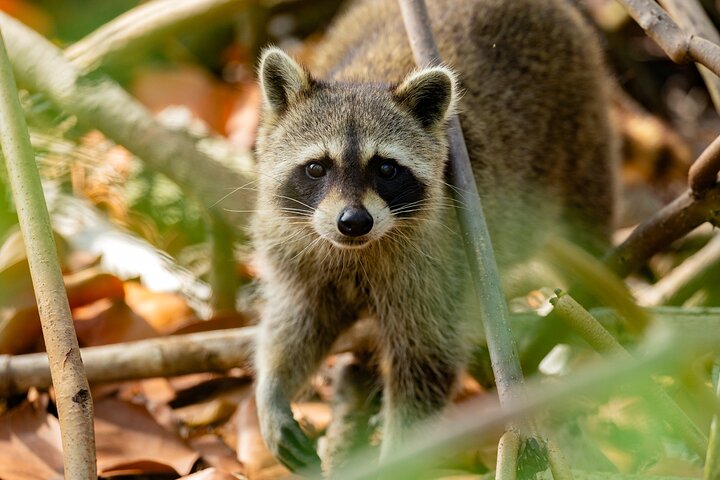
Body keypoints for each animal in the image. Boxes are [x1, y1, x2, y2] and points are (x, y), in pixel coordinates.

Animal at [252, 0, 616, 472]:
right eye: (317, 167)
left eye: (386, 169)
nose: (354, 222)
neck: (359, 249)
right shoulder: (296, 247)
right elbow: (296, 320)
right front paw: (273, 387)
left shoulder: (439, 262)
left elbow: (426, 359)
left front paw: (397, 455)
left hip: (581, 126)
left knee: (584, 231)